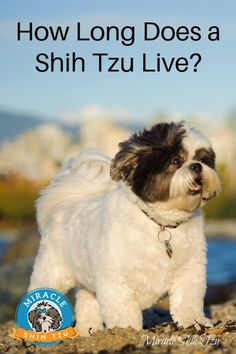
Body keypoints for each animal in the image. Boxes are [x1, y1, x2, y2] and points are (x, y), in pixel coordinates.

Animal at [29, 123, 221, 336]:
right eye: (176, 160)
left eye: (204, 160)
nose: (197, 166)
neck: (161, 223)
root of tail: (68, 202)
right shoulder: (115, 279)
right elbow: (123, 311)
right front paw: (126, 331)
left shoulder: (189, 271)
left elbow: (188, 300)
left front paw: (195, 322)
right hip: (53, 271)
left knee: (87, 301)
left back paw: (89, 329)